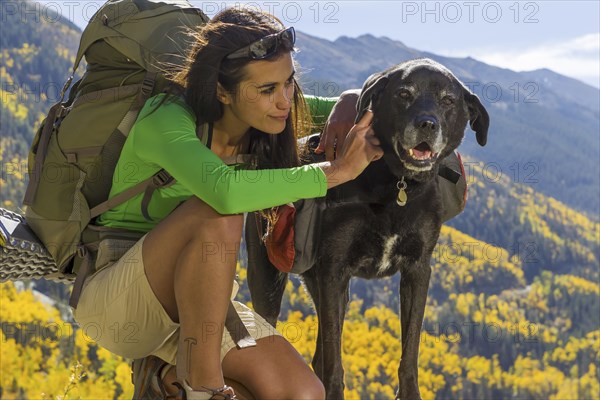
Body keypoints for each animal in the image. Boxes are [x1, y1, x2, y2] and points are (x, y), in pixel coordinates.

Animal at [246, 57, 490, 398]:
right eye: (404, 94)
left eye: (448, 100)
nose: (427, 124)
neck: (397, 183)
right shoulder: (334, 270)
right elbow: (335, 365)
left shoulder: (417, 270)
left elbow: (410, 351)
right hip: (268, 277)